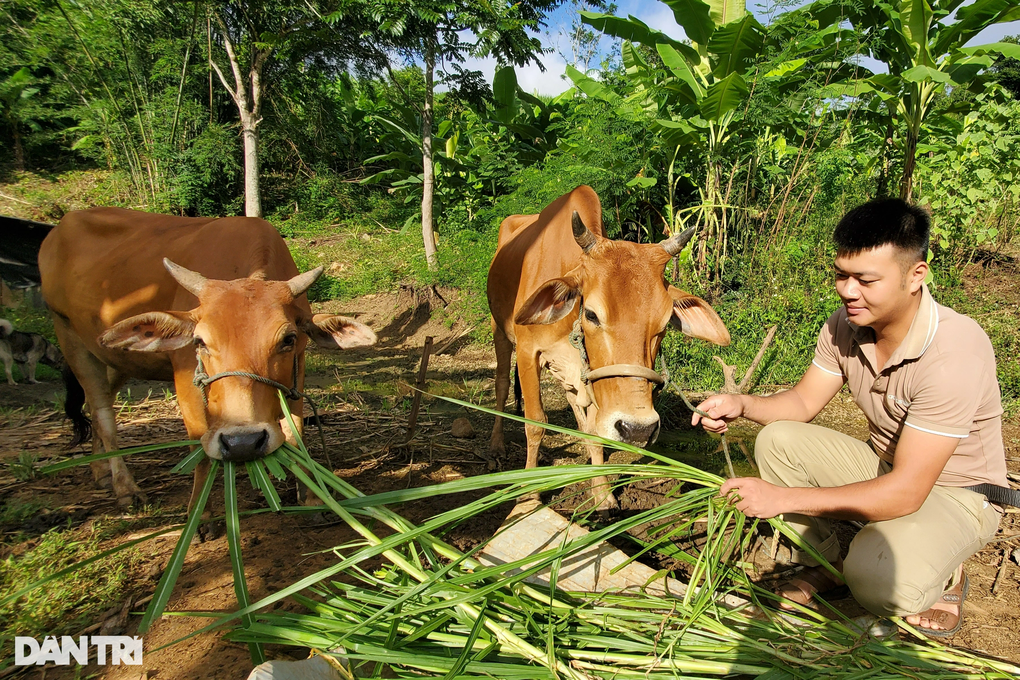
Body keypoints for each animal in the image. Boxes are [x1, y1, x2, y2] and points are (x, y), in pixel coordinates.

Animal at [39, 207, 377, 509]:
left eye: (288, 339)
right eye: (200, 342)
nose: (243, 443)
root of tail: (57, 231)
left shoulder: (298, 366)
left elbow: (296, 430)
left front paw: (310, 498)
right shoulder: (186, 376)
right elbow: (199, 449)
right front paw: (201, 517)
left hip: (115, 356)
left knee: (98, 405)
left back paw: (100, 470)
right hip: (68, 336)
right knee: (102, 413)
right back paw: (125, 488)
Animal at [489, 186, 730, 509]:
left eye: (665, 323)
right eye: (592, 314)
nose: (638, 429)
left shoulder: (587, 372)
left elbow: (593, 429)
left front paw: (602, 492)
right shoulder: (529, 353)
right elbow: (535, 423)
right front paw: (528, 497)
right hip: (499, 330)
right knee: (502, 384)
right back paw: (496, 445)